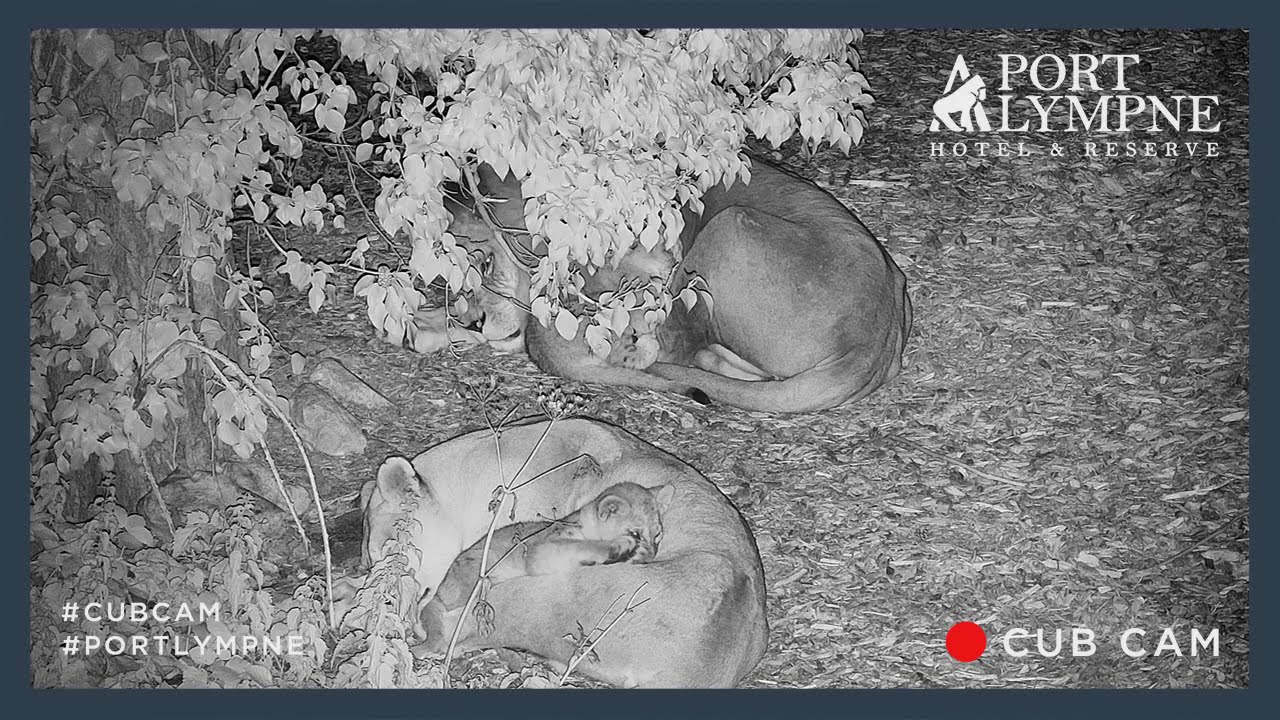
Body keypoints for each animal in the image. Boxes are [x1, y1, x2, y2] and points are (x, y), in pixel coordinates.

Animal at [450, 158, 913, 413]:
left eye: (484, 264)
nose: (472, 324)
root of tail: (872, 343)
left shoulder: (655, 264)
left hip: (728, 228)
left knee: (681, 348)